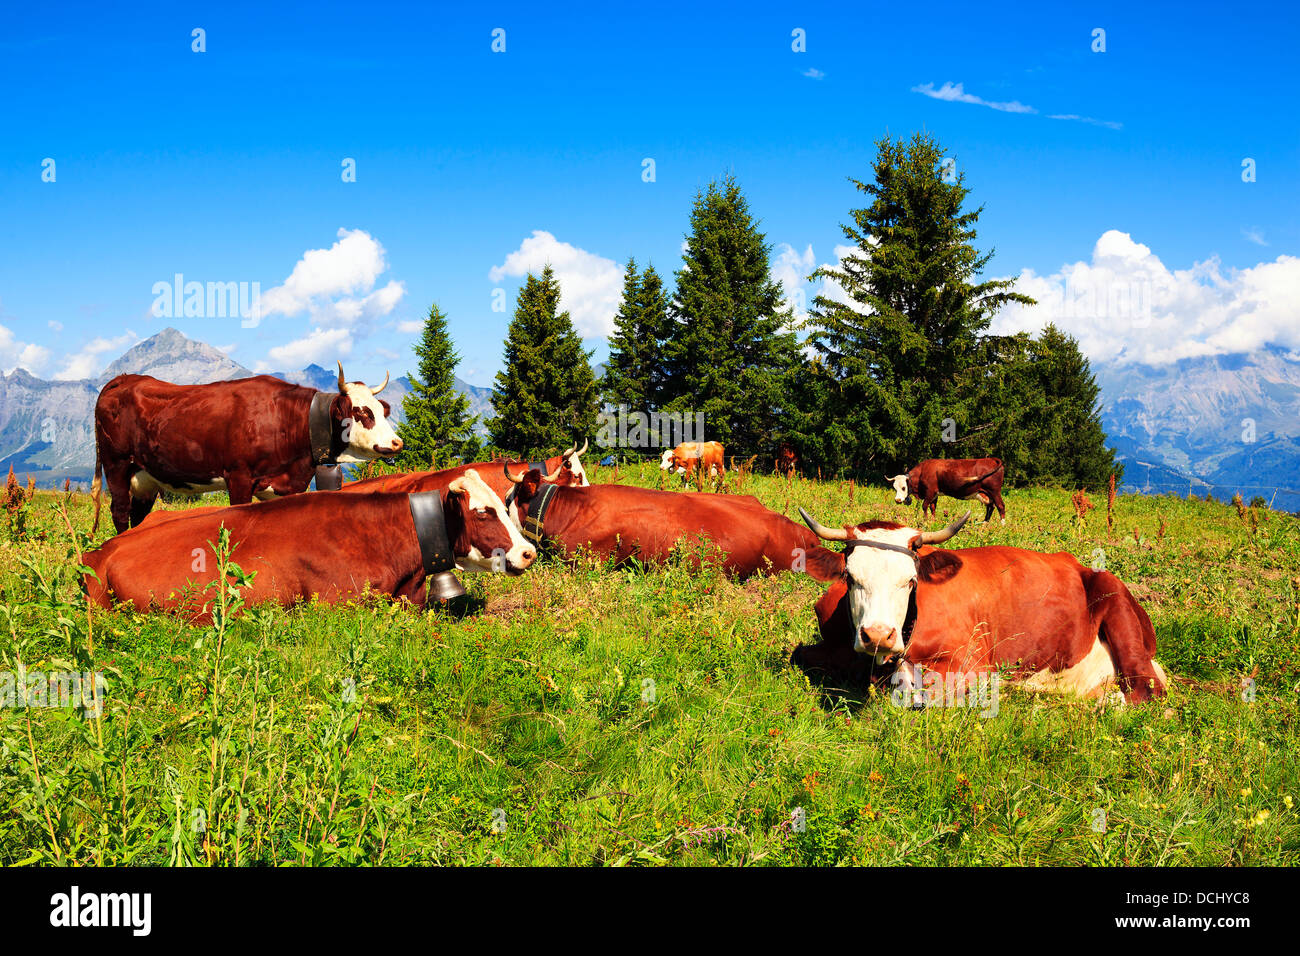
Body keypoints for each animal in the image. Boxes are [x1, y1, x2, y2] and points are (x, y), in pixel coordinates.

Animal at [91, 363, 402, 535]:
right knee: (119, 512)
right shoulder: (239, 476)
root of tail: (123, 379)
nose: (397, 442)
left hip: (144, 477)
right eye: (361, 412)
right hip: (116, 464)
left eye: (381, 410)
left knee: (137, 514)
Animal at [790, 509, 1167, 704]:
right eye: (851, 577)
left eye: (910, 581)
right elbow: (800, 655)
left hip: (1120, 613)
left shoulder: (972, 662)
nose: (878, 635)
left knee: (1148, 692)